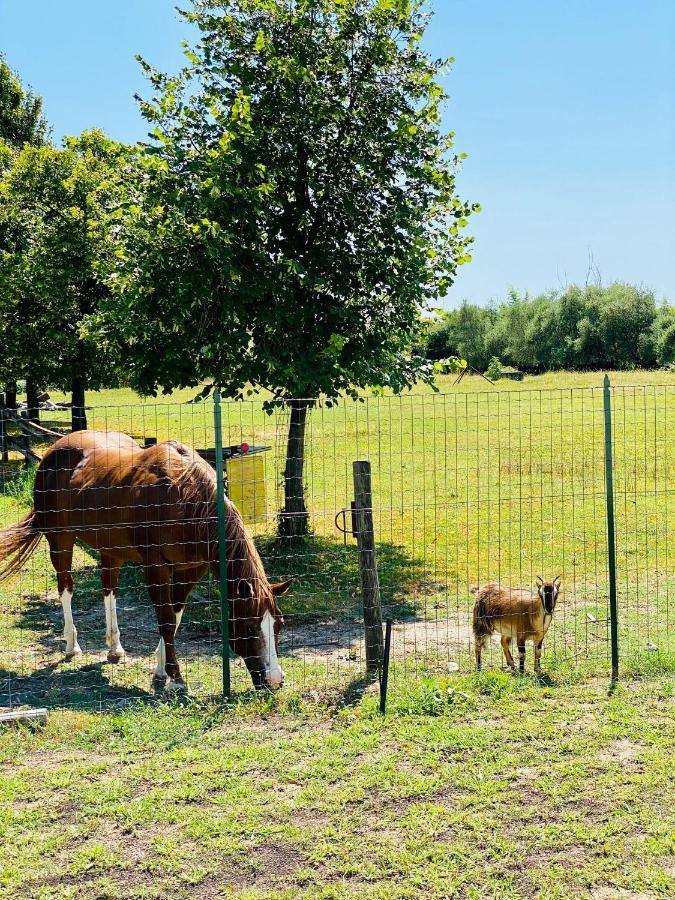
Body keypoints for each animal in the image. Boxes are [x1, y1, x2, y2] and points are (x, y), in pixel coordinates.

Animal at [0, 432, 290, 692]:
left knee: (109, 589)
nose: (275, 681)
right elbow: (166, 620)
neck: (185, 499)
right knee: (66, 588)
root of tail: (52, 452)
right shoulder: (156, 569)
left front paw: (161, 671)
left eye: (279, 624)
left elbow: (175, 617)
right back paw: (72, 646)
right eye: (250, 627)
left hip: (110, 549)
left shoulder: (192, 570)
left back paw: (115, 648)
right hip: (60, 541)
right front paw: (176, 679)